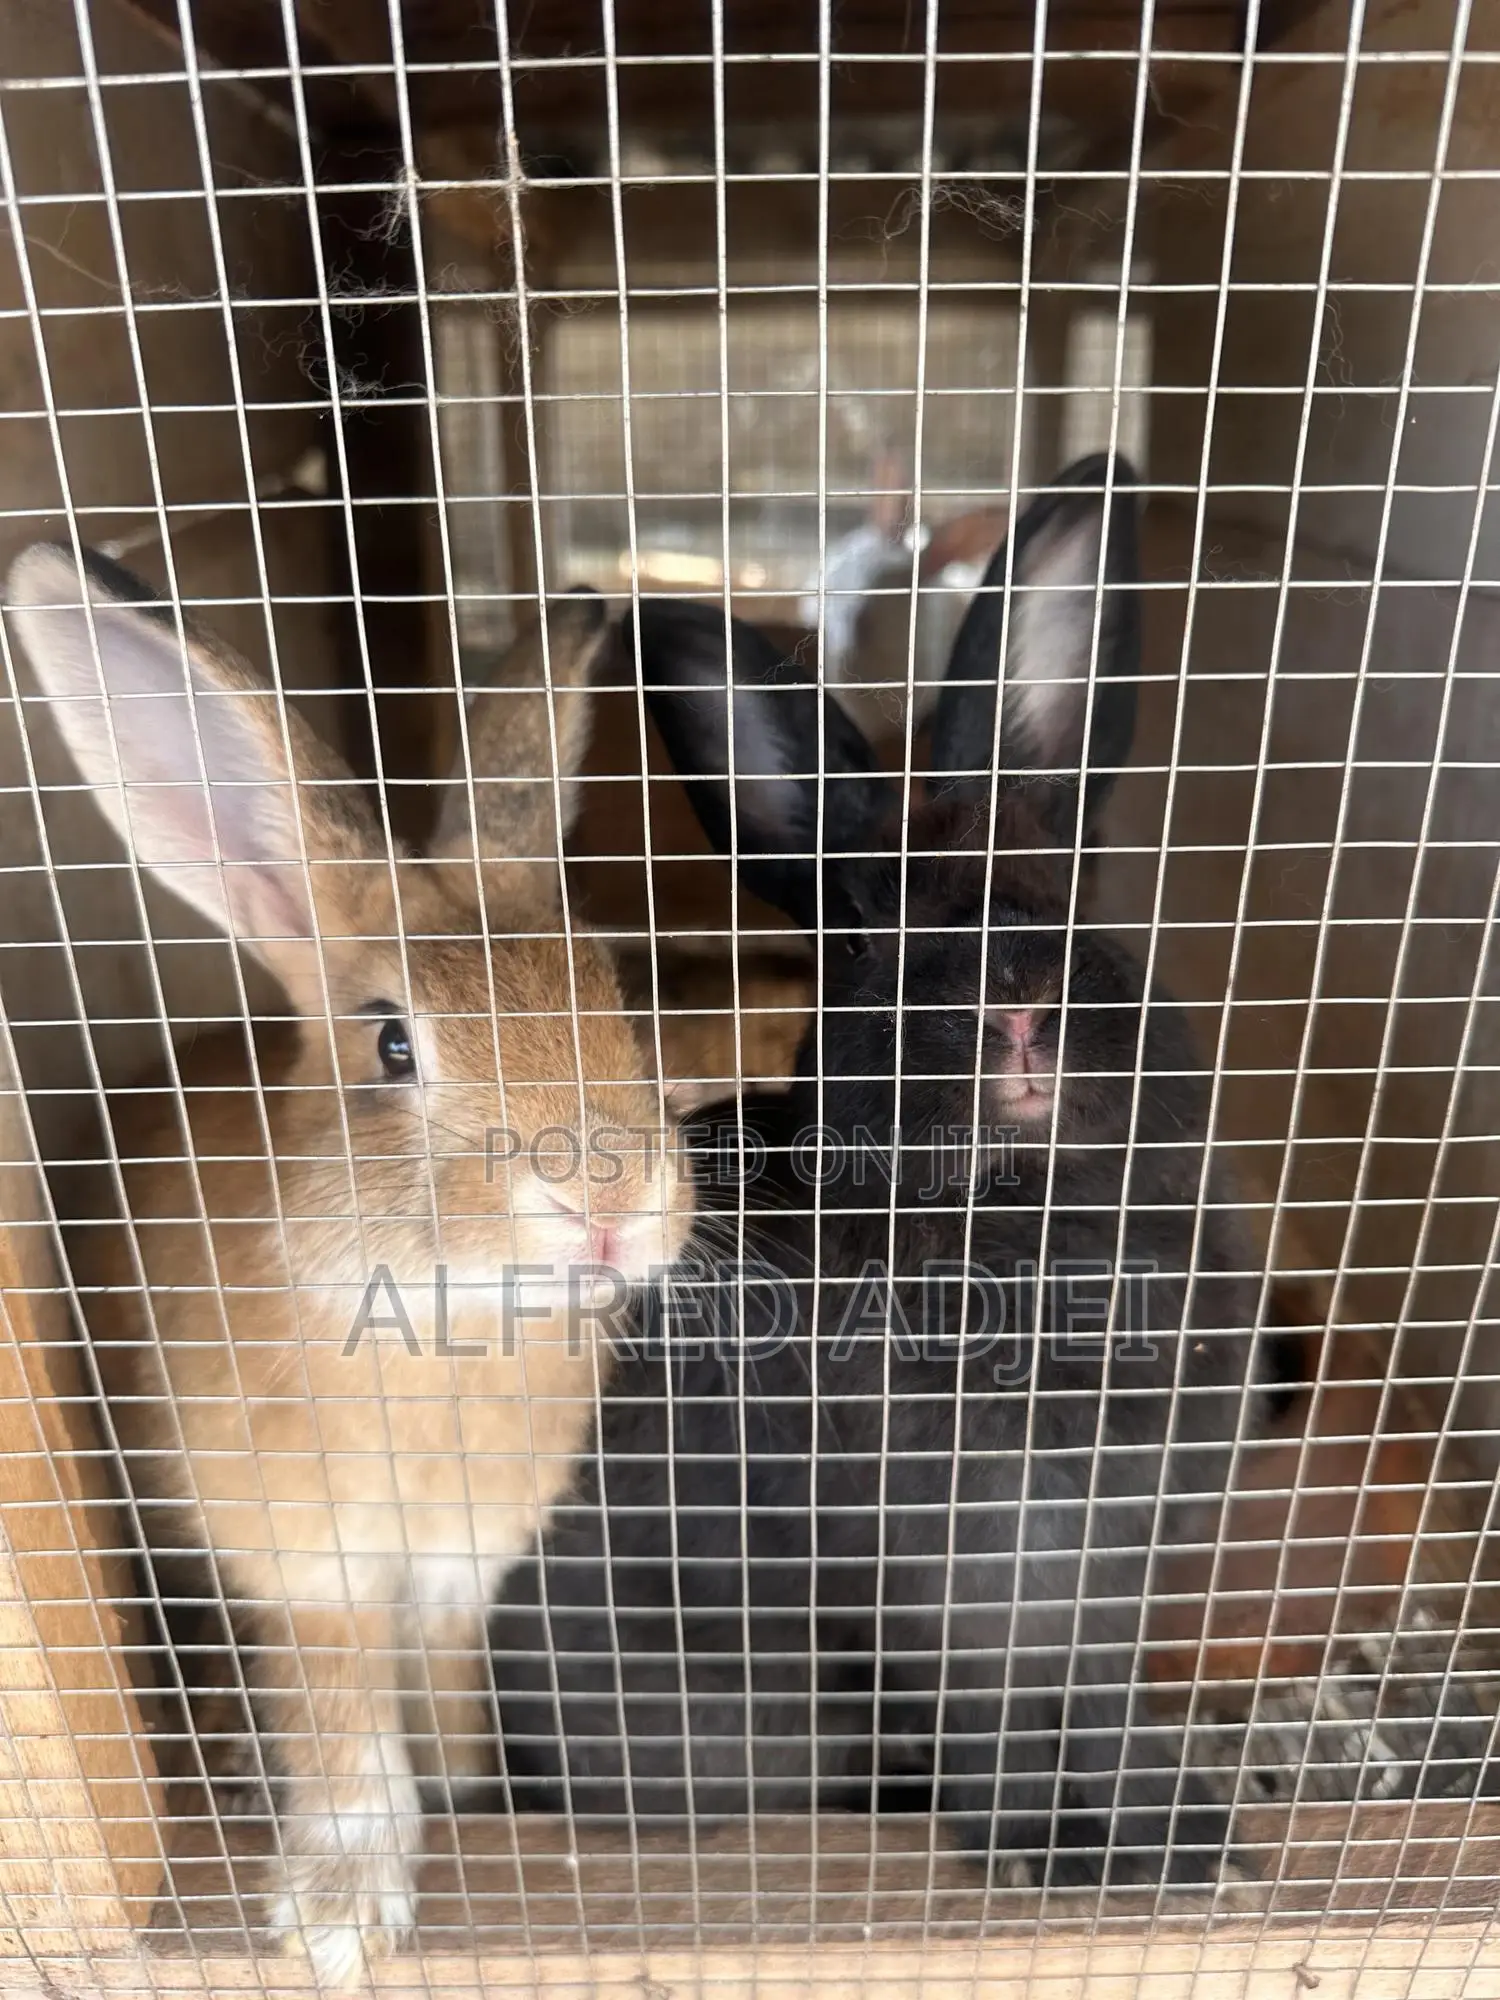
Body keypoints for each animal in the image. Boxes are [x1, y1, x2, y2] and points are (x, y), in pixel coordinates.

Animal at [6, 545, 695, 1983]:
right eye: (391, 1043)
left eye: (615, 997)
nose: (609, 1199)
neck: (441, 1325)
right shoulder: (310, 1574)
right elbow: (340, 1729)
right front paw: (334, 1915)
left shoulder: (456, 1574)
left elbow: (438, 1700)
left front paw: (473, 1796)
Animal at [488, 454, 1278, 1892]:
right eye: (861, 938)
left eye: (1070, 899)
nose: (1014, 1007)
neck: (1023, 1222)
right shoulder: (950, 1588)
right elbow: (998, 1728)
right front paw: (1068, 1858)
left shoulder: (1104, 1582)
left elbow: (1102, 1709)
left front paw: (1183, 1842)